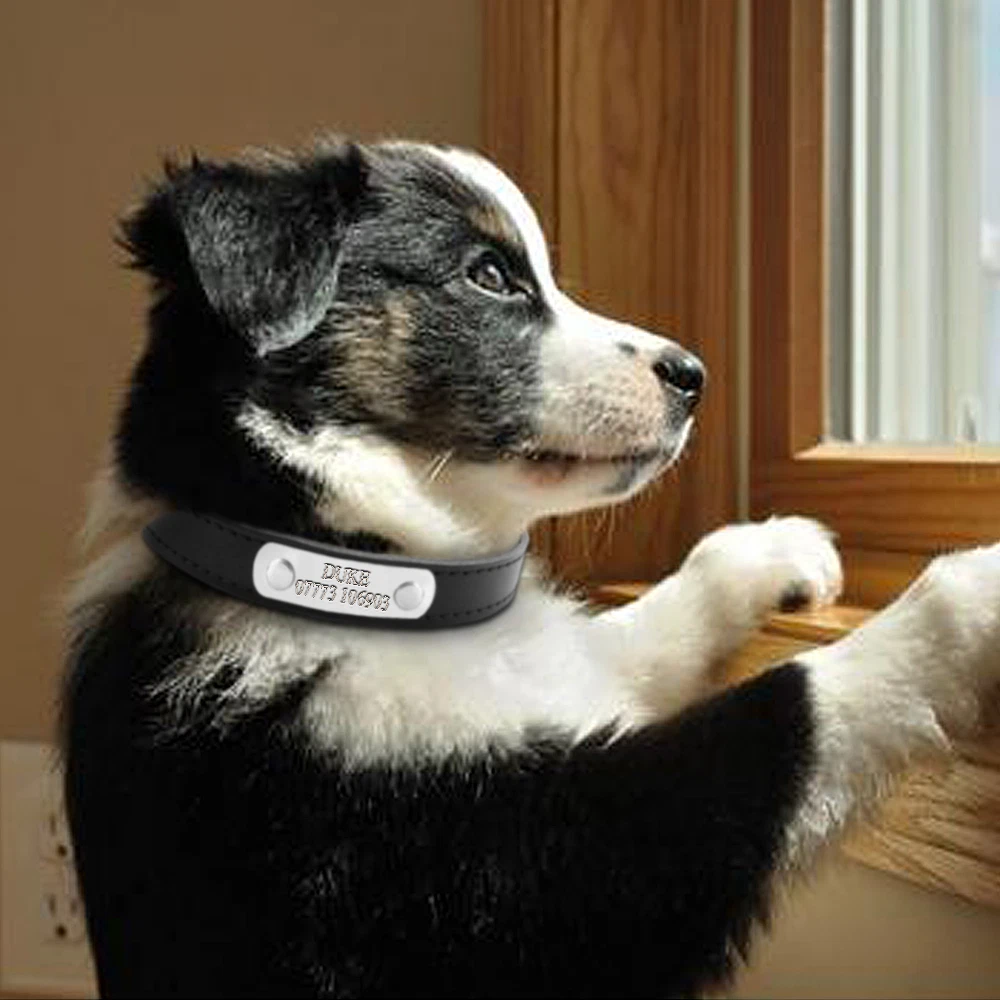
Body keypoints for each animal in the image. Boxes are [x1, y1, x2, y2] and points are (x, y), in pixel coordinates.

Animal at [64, 139, 1000, 998]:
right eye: (489, 275)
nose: (693, 375)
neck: (373, 576)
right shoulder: (505, 875)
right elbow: (789, 707)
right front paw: (968, 594)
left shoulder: (565, 678)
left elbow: (639, 630)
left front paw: (773, 548)